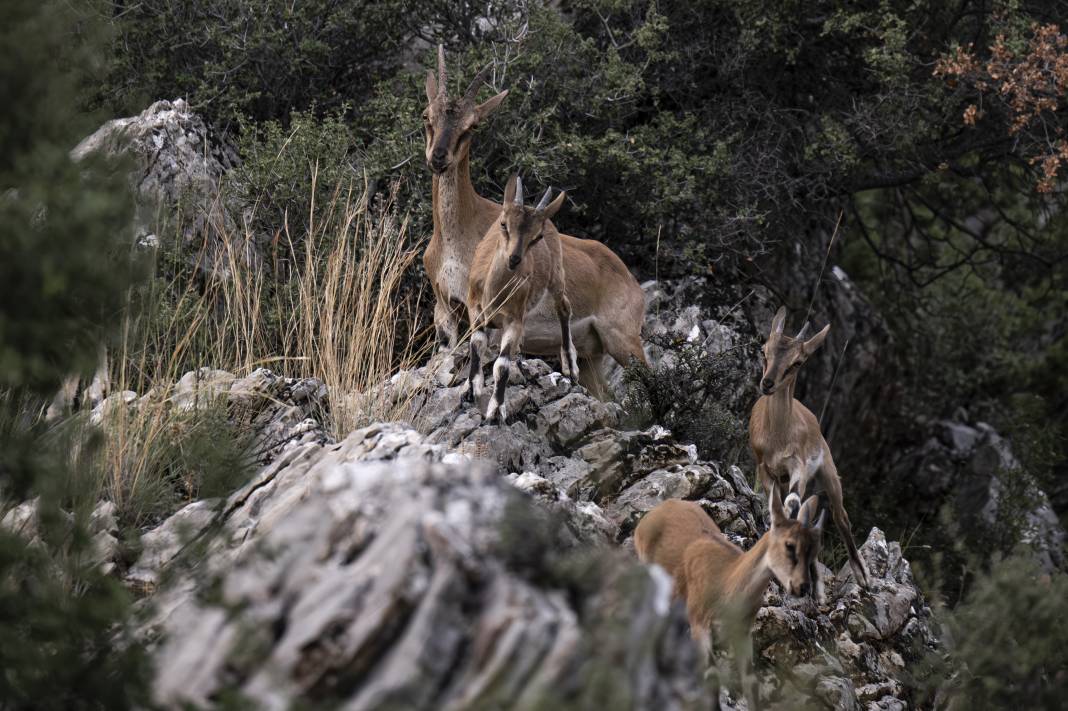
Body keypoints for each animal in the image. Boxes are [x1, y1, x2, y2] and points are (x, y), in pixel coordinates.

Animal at [465, 176, 645, 420]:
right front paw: (471, 389)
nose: (514, 260)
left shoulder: (515, 320)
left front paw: (496, 411)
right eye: (503, 224)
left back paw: (570, 363)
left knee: (565, 308)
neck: (496, 293)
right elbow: (476, 344)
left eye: (537, 236)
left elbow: (501, 364)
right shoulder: (475, 310)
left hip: (568, 289)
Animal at [632, 484, 824, 708]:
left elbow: (751, 681)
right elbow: (711, 675)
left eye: (813, 550)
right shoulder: (699, 620)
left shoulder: (742, 631)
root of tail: (657, 510)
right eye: (790, 545)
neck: (726, 582)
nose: (802, 587)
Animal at [747, 305, 871, 593]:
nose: (767, 383)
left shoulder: (799, 467)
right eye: (764, 350)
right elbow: (776, 503)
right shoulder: (764, 468)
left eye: (797, 362)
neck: (778, 435)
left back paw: (862, 577)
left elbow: (793, 501)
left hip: (829, 473)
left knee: (840, 515)